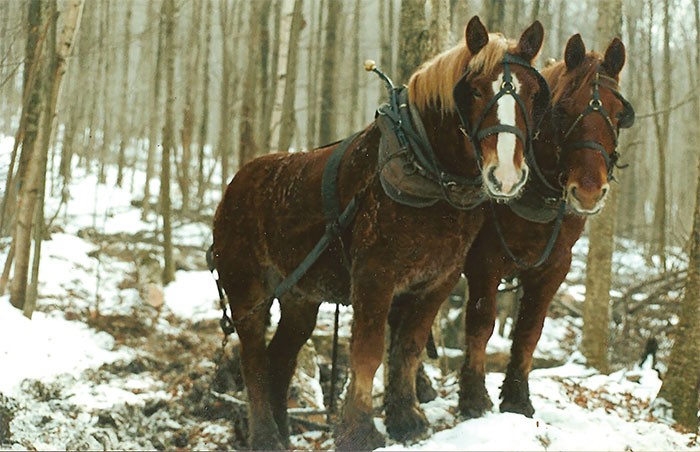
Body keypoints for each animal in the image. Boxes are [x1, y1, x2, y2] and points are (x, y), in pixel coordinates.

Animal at [211, 15, 548, 450]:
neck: (423, 170)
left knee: (280, 358)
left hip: (300, 297)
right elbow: (368, 352)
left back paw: (283, 431)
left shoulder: (436, 282)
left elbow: (408, 347)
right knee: (252, 358)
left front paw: (407, 419)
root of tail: (235, 185)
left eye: (535, 94)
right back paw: (266, 436)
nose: (505, 175)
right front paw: (359, 430)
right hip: (247, 291)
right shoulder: (375, 277)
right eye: (474, 90)